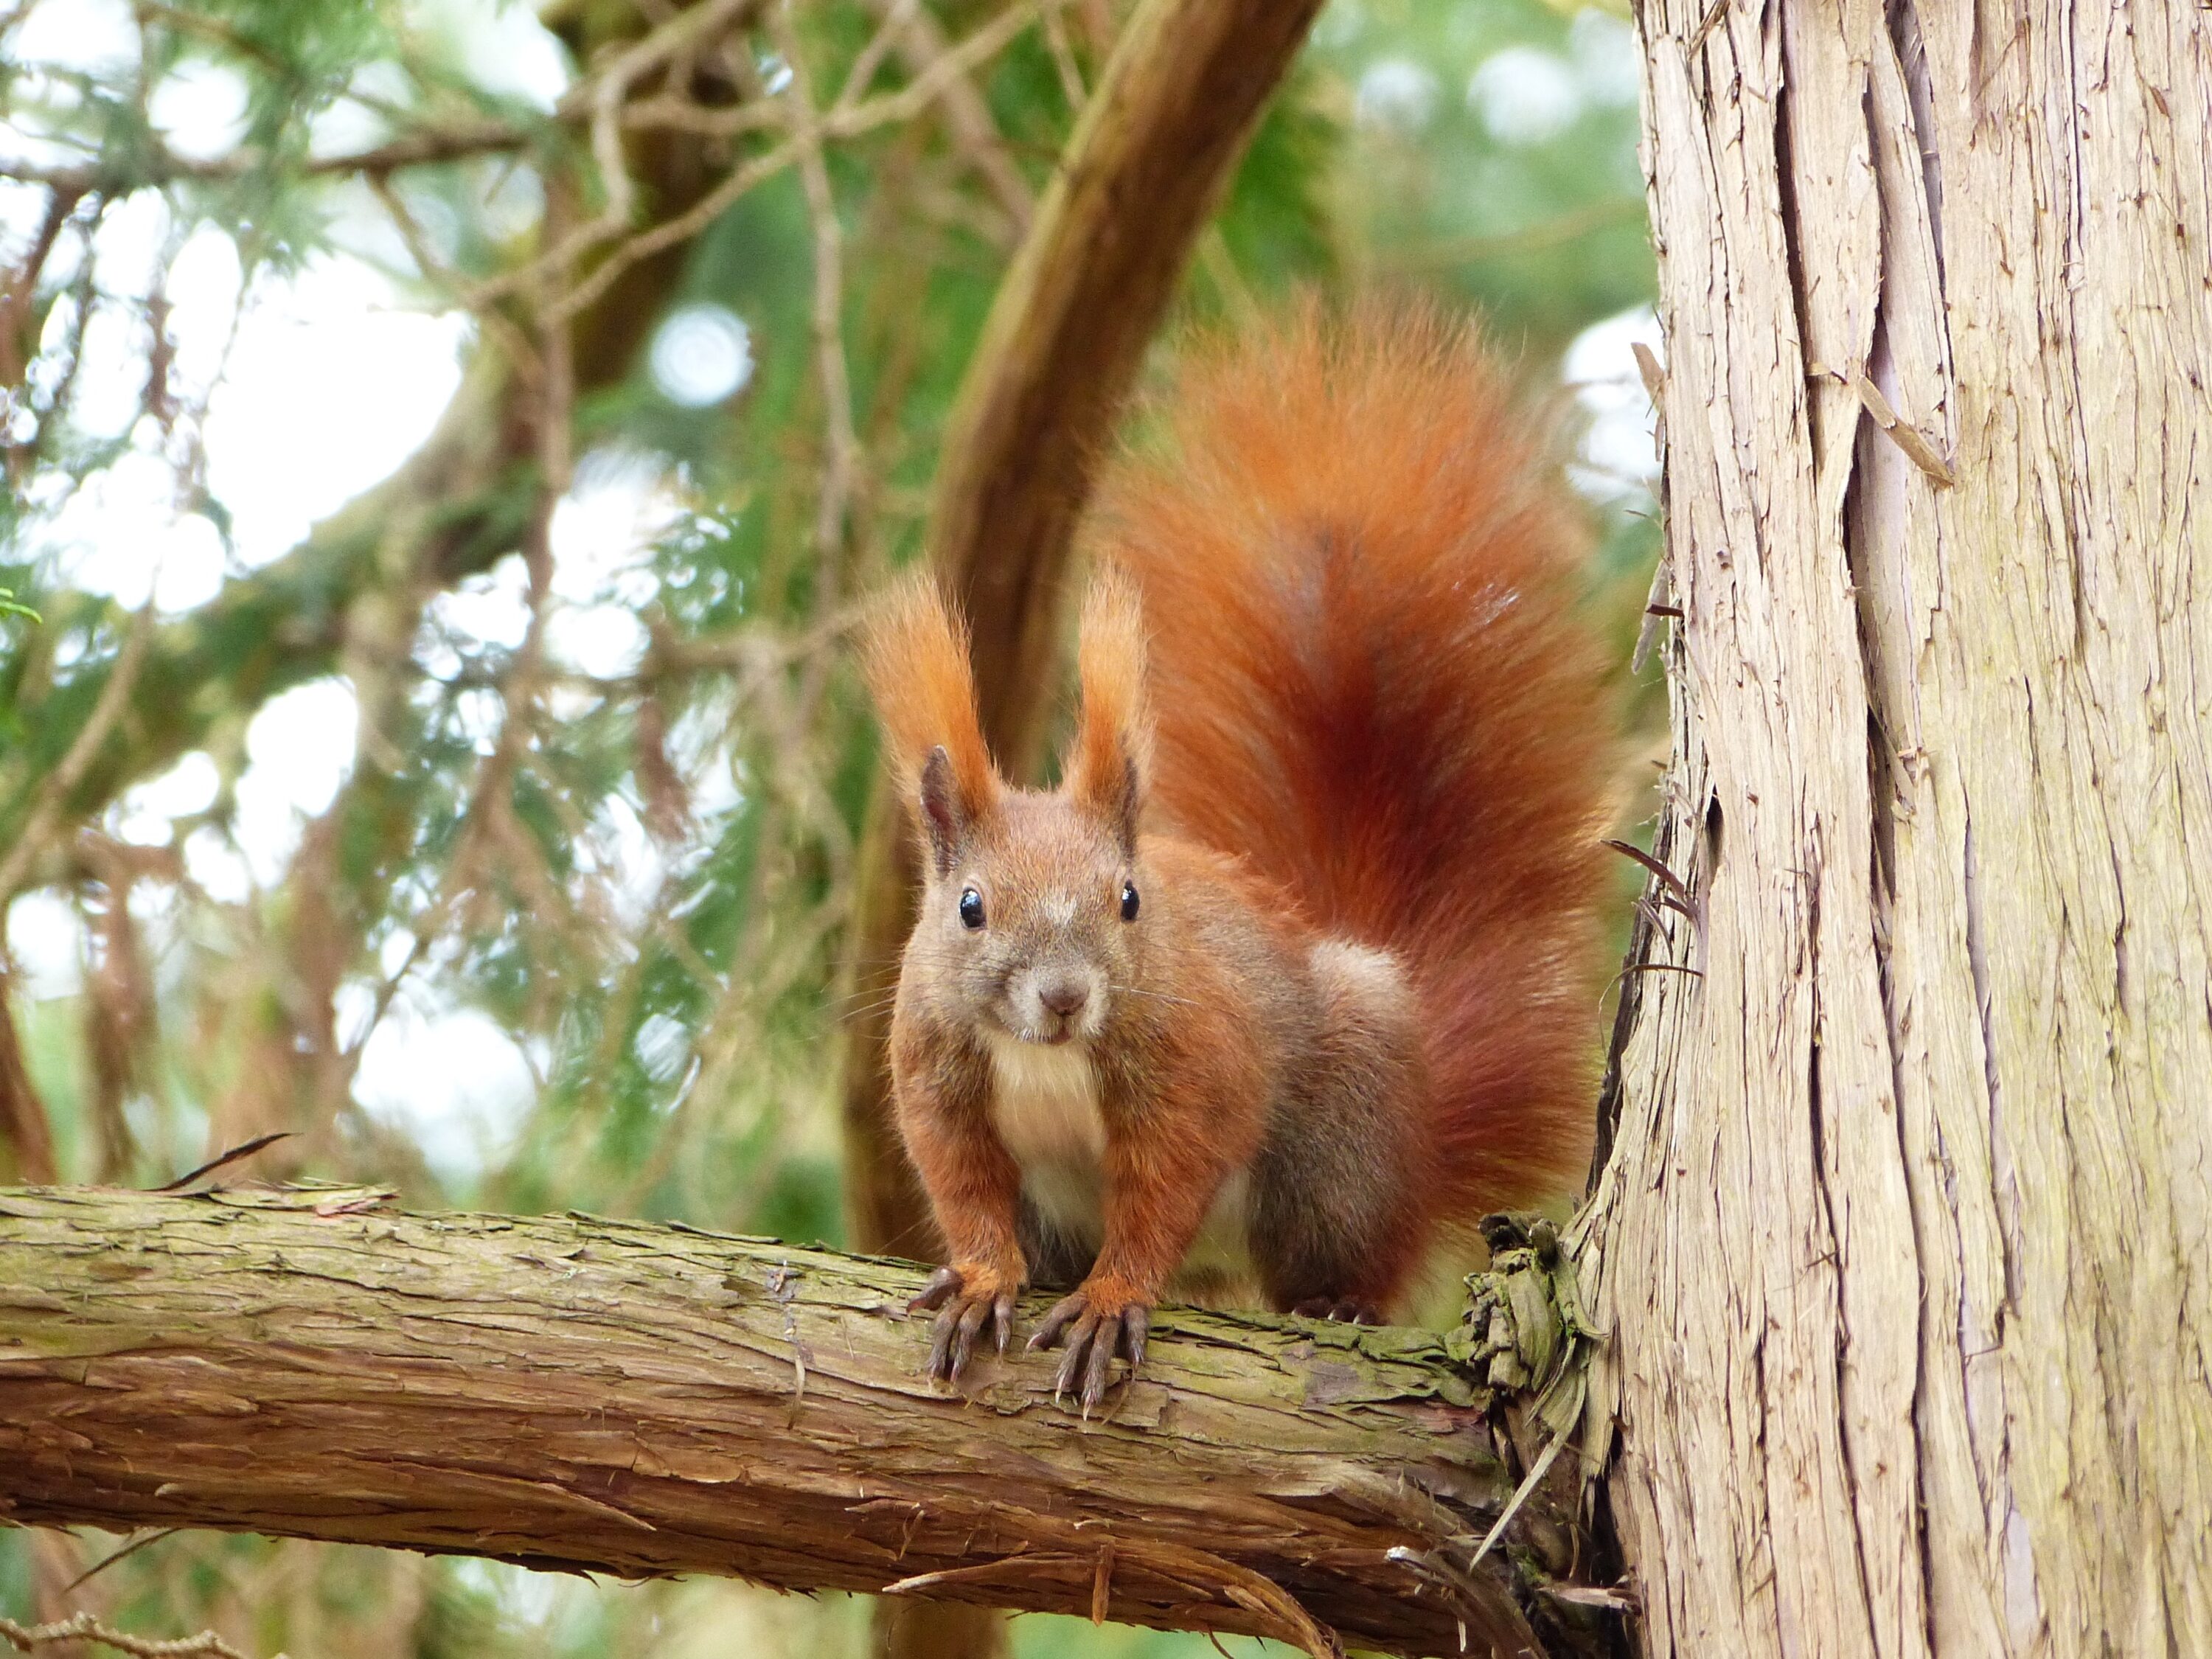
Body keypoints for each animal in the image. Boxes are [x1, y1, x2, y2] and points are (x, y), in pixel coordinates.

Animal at [861, 303, 1614, 1410]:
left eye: (1130, 900)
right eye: (969, 906)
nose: (1065, 997)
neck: (1046, 1057)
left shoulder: (1194, 1064)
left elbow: (1162, 1189)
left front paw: (1112, 1297)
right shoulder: (936, 1078)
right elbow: (964, 1189)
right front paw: (986, 1276)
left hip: (1332, 1152)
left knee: (1346, 1258)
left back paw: (1339, 1303)